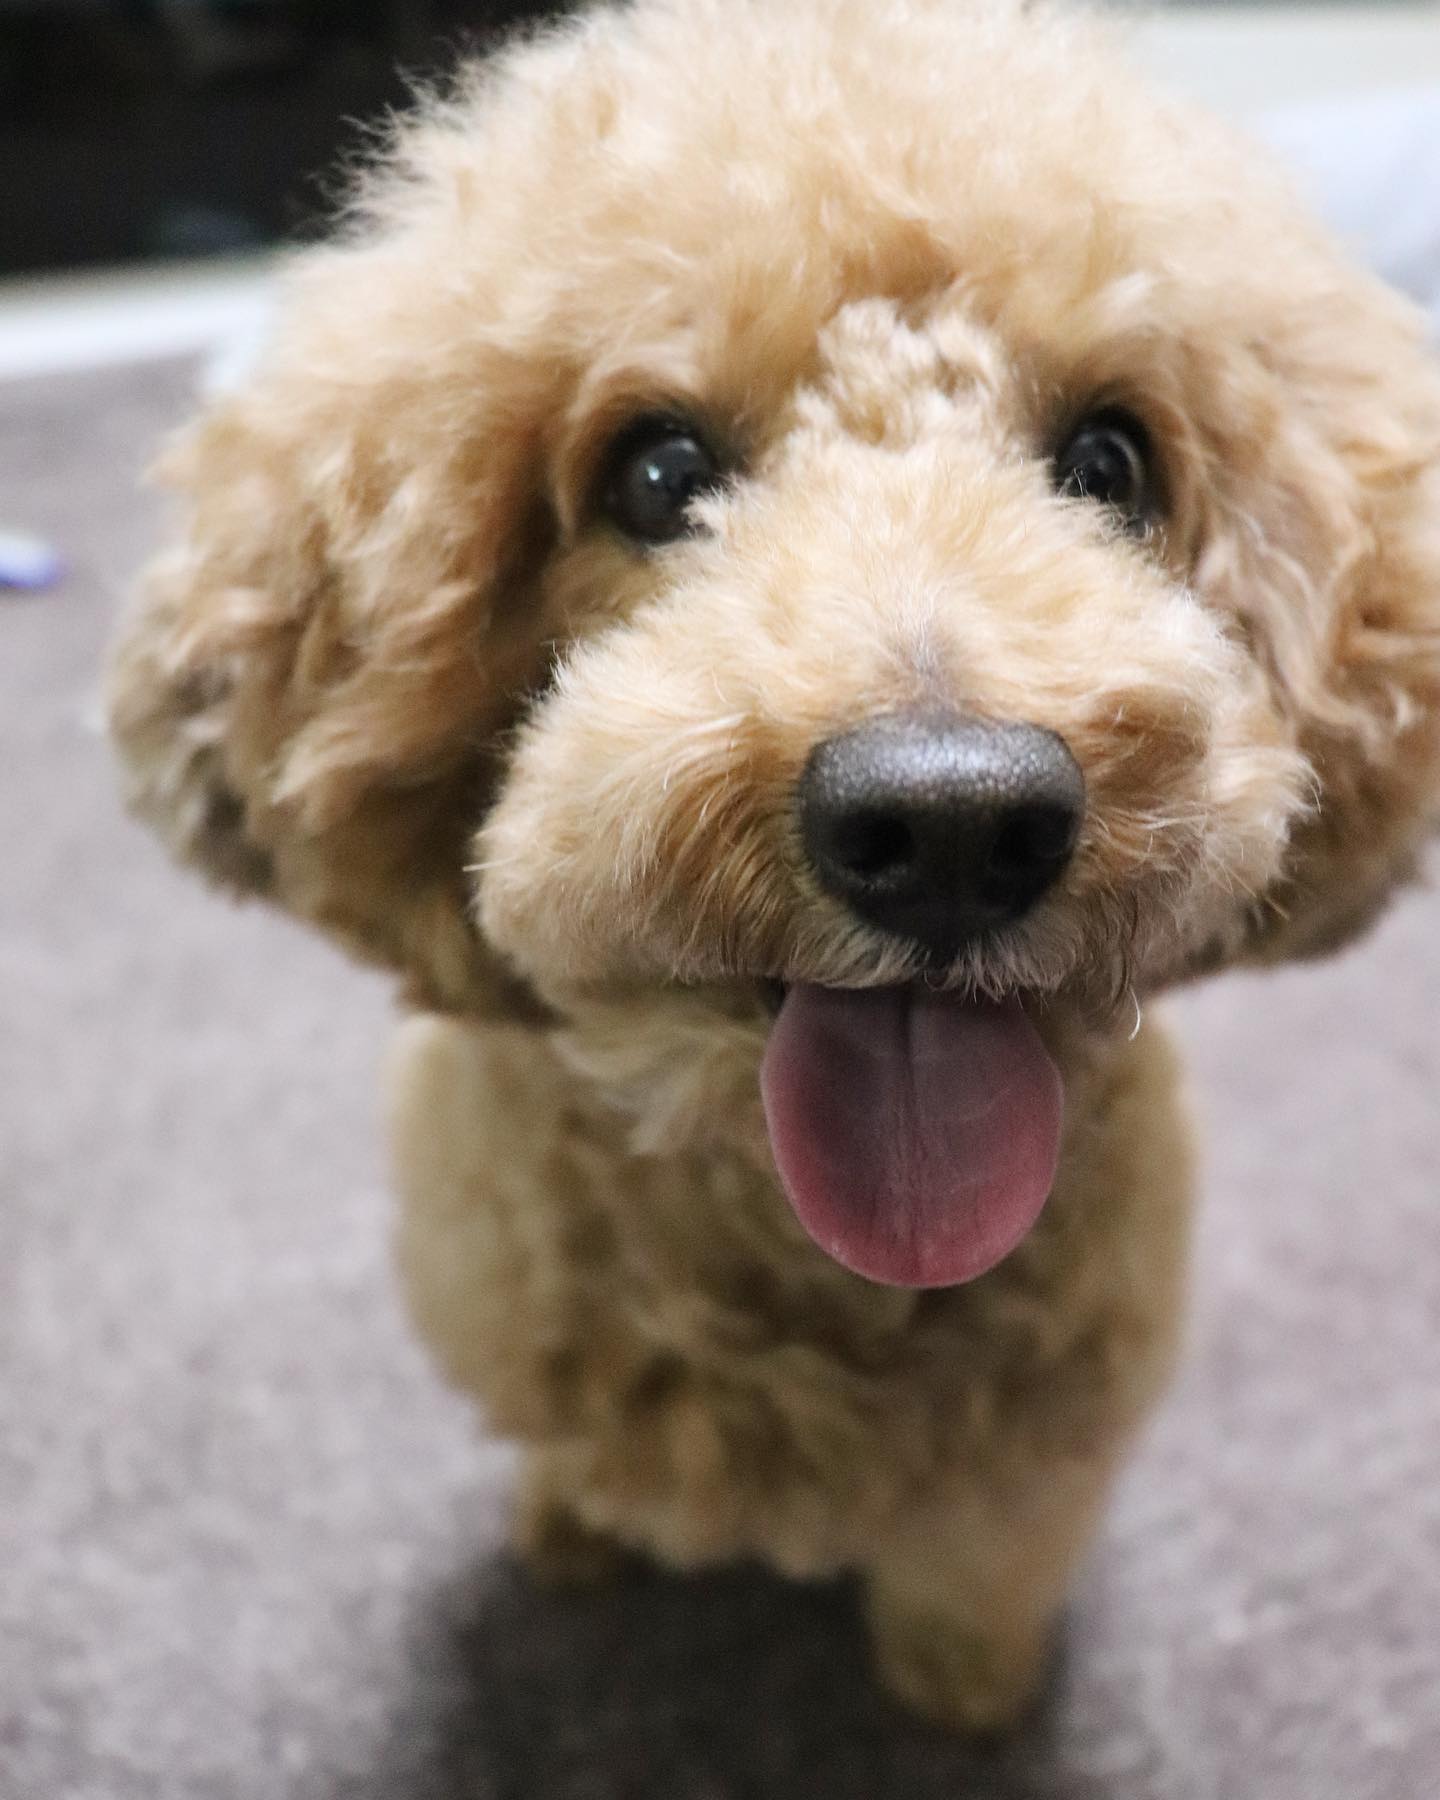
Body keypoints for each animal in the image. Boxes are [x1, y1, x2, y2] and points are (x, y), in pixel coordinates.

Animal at [108, 0, 1440, 1734]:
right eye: (656, 473)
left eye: (1109, 463)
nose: (949, 824)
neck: (812, 1246)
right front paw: (570, 1536)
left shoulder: (1034, 1462)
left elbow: (970, 1572)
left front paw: (962, 1697)